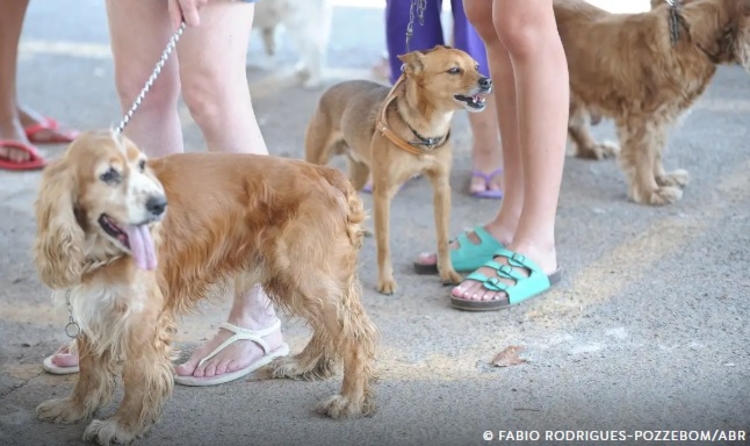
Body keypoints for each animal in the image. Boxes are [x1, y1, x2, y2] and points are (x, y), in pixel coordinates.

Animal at [32, 131, 378, 444]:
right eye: (108, 174)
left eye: (142, 166)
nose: (160, 205)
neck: (102, 249)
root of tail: (324, 173)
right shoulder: (93, 306)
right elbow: (89, 370)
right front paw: (74, 408)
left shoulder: (142, 318)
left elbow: (137, 376)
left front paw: (123, 426)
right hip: (293, 277)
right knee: (330, 328)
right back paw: (302, 364)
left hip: (307, 274)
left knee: (355, 335)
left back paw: (349, 400)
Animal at [306, 46, 494, 292]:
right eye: (454, 70)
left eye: (477, 66)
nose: (487, 81)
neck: (427, 131)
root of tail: (330, 90)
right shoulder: (383, 193)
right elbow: (384, 243)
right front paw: (385, 280)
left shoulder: (441, 188)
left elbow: (443, 238)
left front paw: (447, 272)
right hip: (318, 161)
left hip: (360, 172)